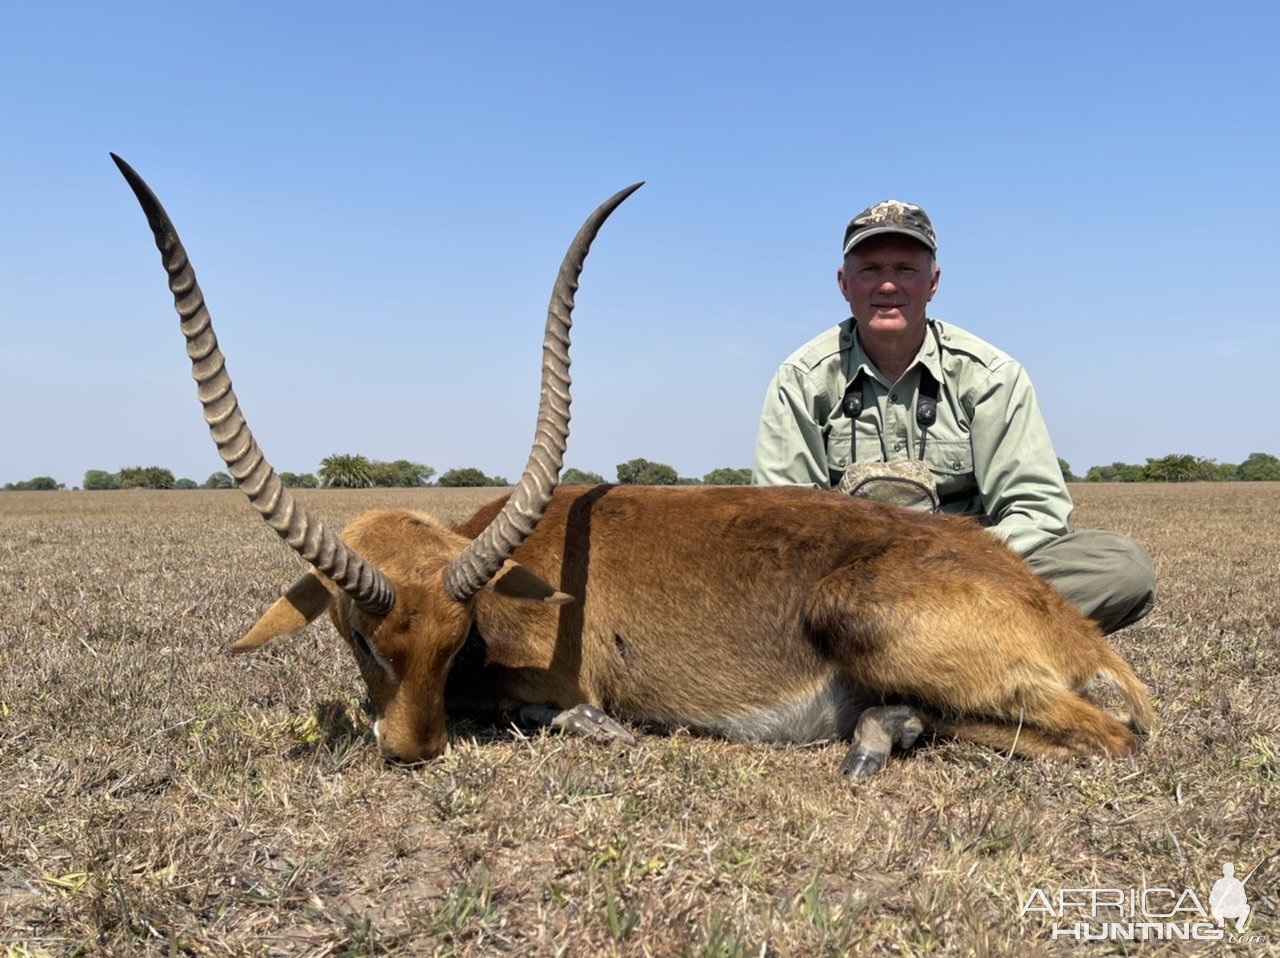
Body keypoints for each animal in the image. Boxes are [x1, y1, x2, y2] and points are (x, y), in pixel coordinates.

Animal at [117, 151, 1162, 778]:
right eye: (363, 637)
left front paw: (589, 725)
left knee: (1106, 736)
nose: (413, 751)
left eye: (455, 641)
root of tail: (1062, 619)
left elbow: (542, 708)